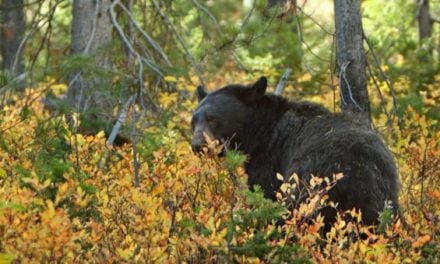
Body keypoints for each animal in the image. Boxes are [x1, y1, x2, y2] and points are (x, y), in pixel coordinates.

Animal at [192, 76, 398, 227]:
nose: (197, 145)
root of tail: (359, 171)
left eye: (212, 118)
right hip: (385, 199)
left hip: (309, 187)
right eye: (193, 120)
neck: (260, 131)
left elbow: (264, 193)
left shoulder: (270, 160)